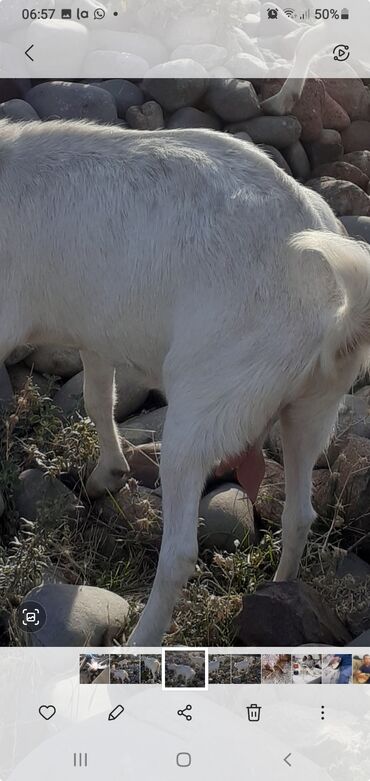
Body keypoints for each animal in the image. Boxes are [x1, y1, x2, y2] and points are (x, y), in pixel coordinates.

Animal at [4, 122, 370, 644]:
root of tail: (335, 308)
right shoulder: (98, 330)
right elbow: (97, 400)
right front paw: (106, 475)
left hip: (203, 404)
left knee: (179, 552)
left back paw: (141, 640)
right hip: (313, 407)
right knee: (299, 514)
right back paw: (280, 590)